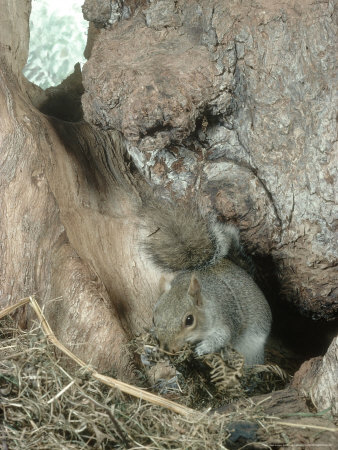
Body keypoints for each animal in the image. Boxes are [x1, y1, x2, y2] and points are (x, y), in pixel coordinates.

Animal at [143, 201, 272, 366]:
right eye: (154, 318)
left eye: (189, 320)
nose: (167, 348)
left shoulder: (226, 317)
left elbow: (223, 336)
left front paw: (203, 348)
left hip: (252, 349)